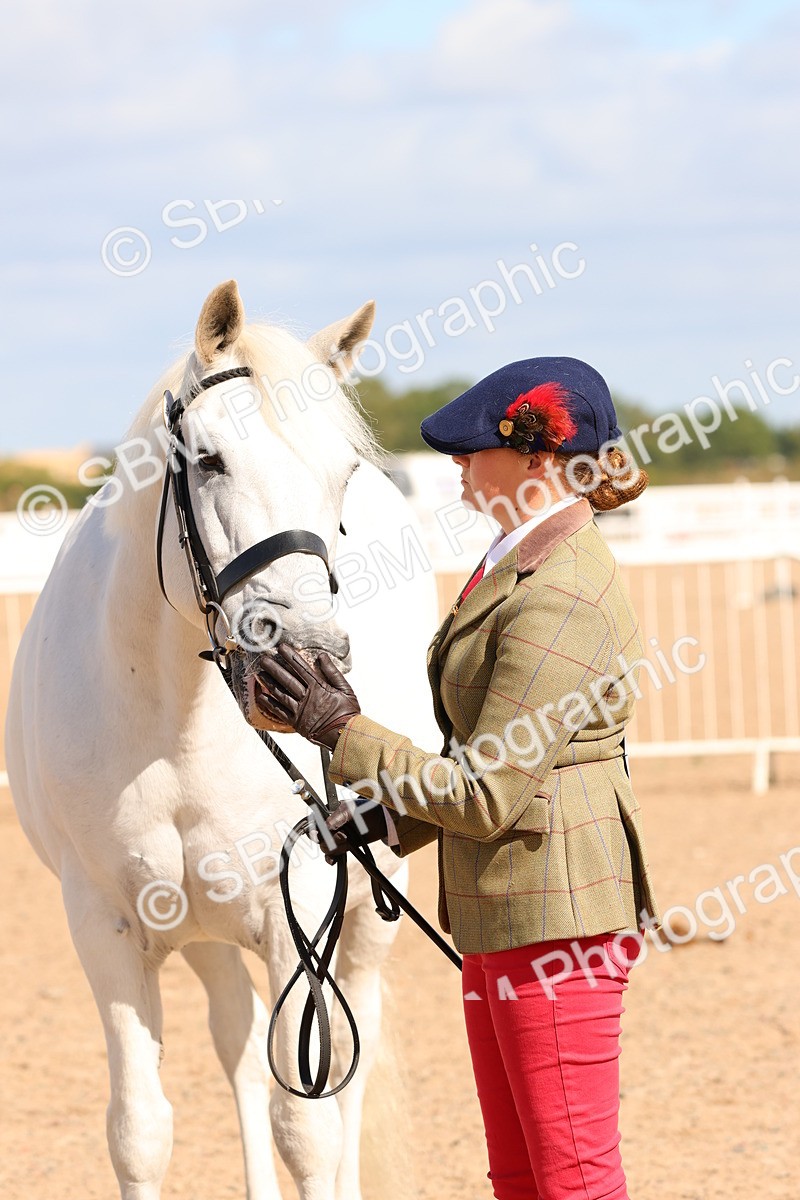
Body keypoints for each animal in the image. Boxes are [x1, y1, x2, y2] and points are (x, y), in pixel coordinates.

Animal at [5, 280, 439, 1200]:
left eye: (343, 474)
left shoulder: (297, 914)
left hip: (367, 920)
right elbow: (140, 1131)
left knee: (349, 1062)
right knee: (241, 1049)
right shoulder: (104, 926)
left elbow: (308, 1126)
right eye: (209, 461)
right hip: (205, 934)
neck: (177, 725)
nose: (305, 654)